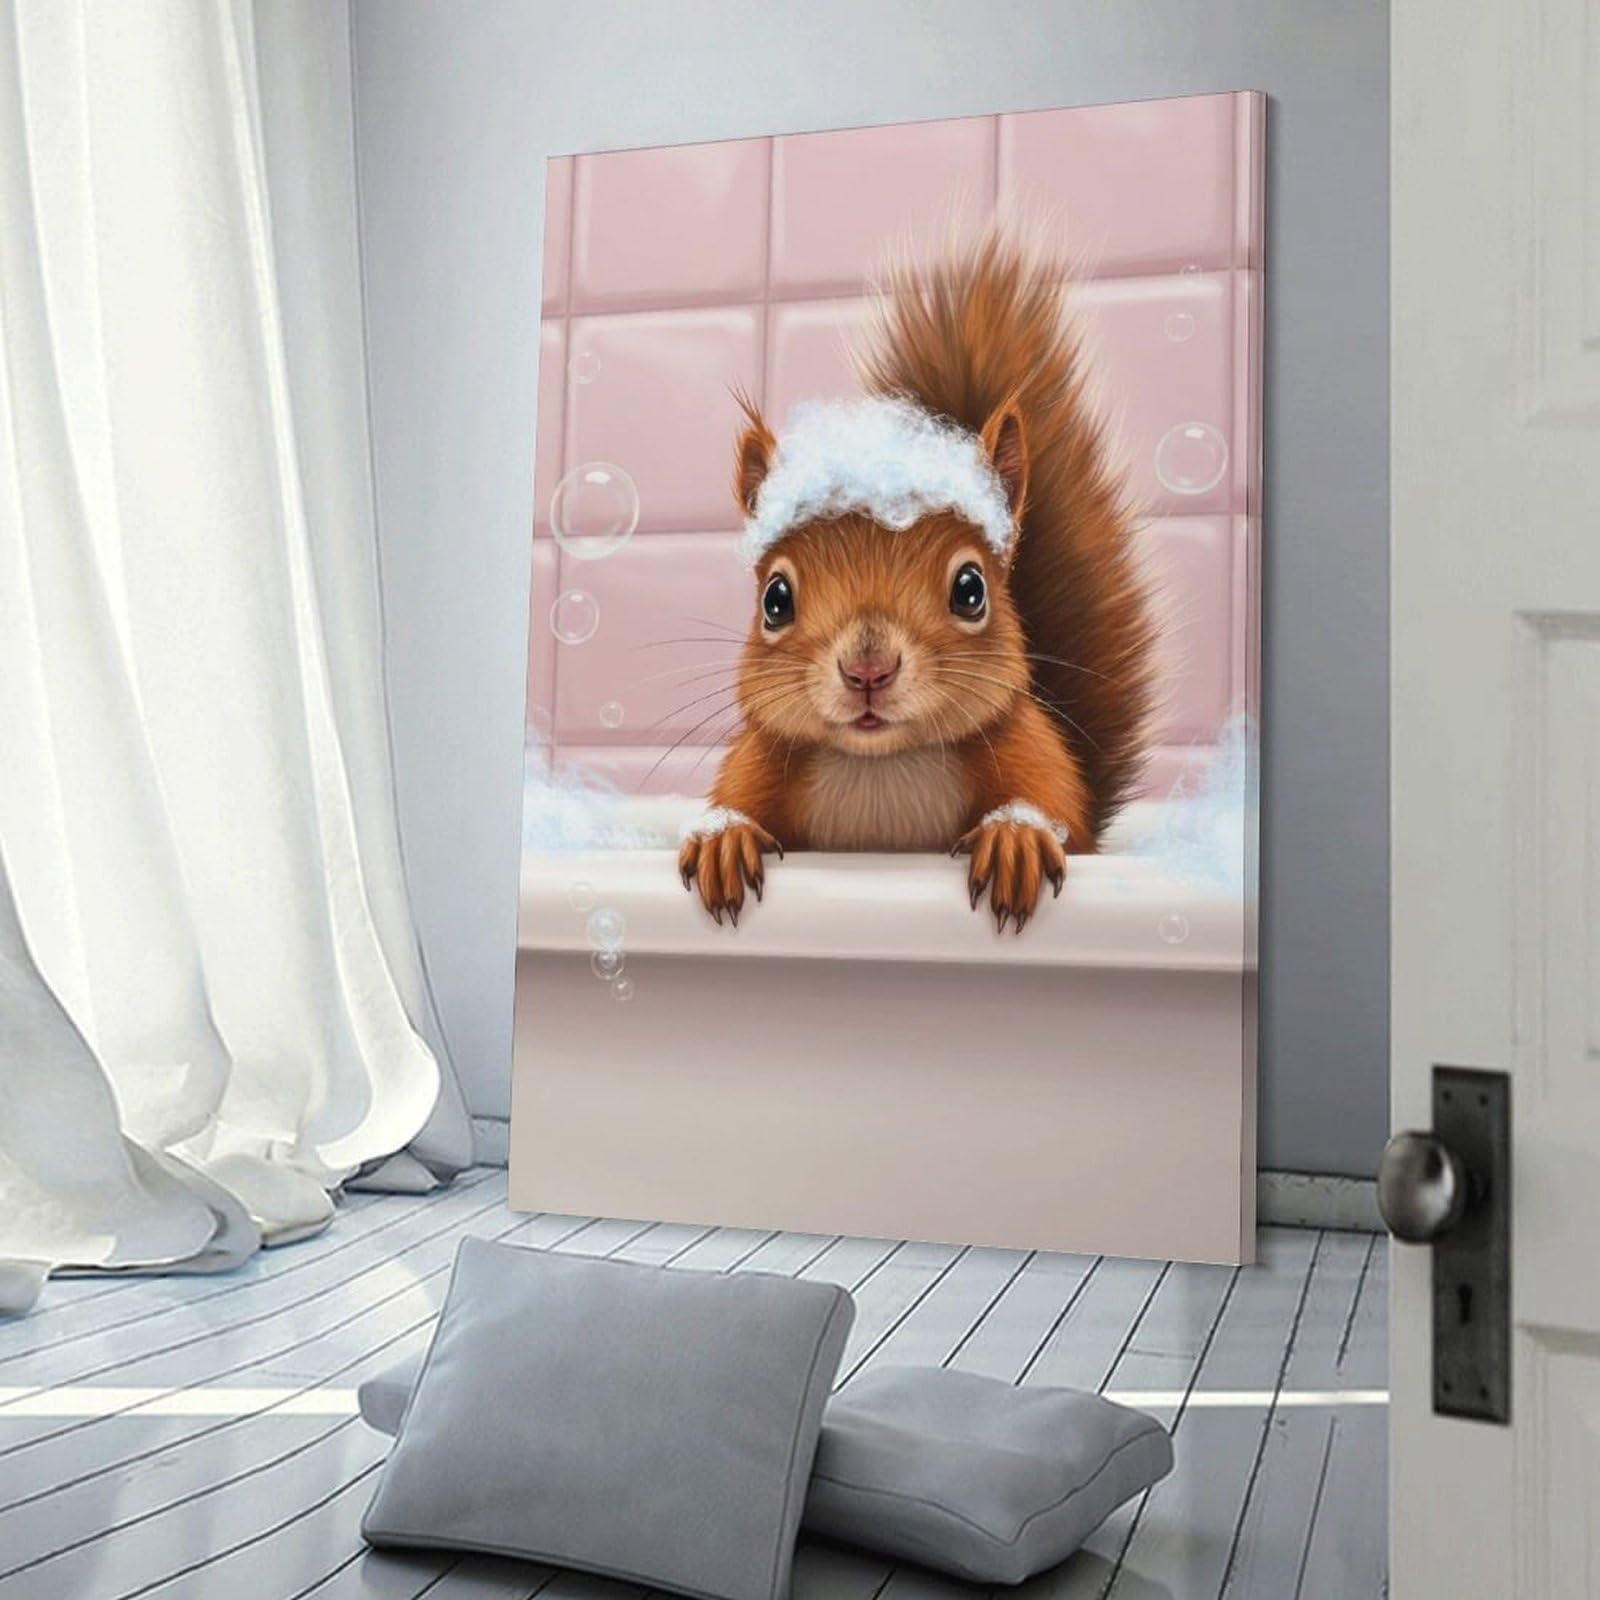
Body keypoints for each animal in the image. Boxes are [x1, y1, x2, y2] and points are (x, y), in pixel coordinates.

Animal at [678, 233, 1157, 932]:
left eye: (971, 589)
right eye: (775, 600)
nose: (867, 670)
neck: (882, 767)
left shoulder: (1033, 749)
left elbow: (1055, 807)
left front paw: (1015, 836)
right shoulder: (757, 761)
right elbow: (735, 800)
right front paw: (724, 836)